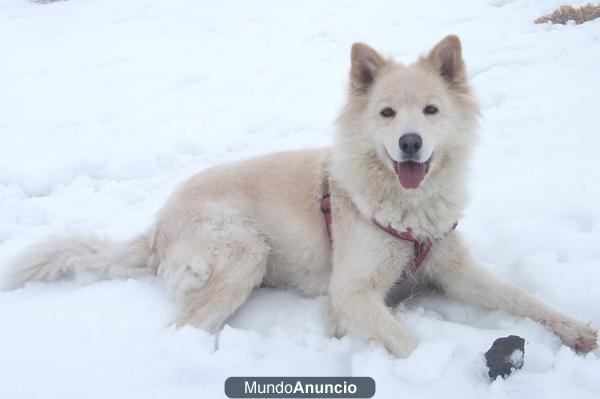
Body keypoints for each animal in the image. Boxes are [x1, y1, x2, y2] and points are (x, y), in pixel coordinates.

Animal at [4, 36, 596, 358]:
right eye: (386, 113)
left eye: (430, 111)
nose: (410, 142)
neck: (404, 207)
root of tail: (156, 227)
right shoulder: (352, 293)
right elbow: (411, 343)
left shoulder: (454, 270)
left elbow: (523, 298)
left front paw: (577, 331)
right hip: (243, 251)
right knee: (183, 327)